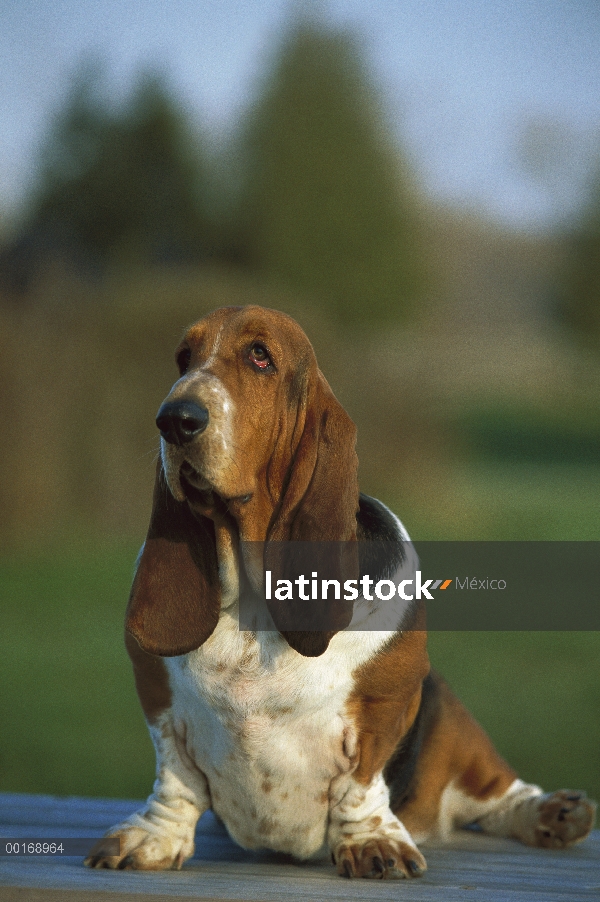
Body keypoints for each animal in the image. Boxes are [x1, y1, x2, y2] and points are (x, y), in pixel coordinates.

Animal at [85, 308, 596, 880]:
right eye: (183, 359)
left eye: (260, 356)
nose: (175, 419)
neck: (252, 602)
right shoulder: (158, 698)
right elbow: (173, 780)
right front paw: (151, 839)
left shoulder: (384, 704)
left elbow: (361, 783)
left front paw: (373, 844)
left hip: (455, 726)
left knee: (502, 793)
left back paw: (556, 813)